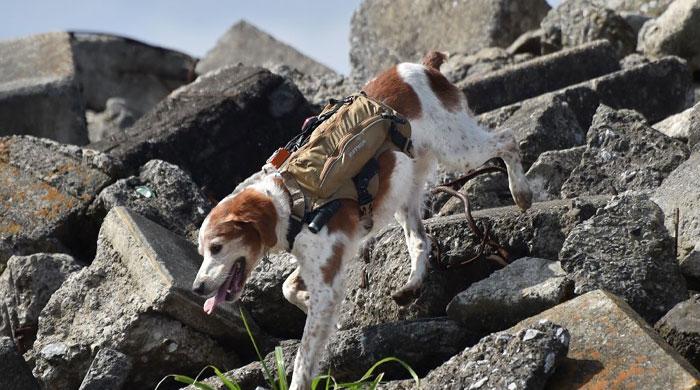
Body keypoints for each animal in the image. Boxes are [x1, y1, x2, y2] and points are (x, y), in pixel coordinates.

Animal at [191, 52, 532, 390]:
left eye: (217, 248)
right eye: (203, 252)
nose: (197, 288)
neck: (290, 199)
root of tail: (423, 66)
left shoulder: (327, 279)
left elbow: (303, 359)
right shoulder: (324, 263)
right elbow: (288, 287)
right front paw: (322, 310)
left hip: (458, 149)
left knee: (507, 140)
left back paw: (522, 192)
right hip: (403, 190)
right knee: (420, 241)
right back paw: (412, 285)